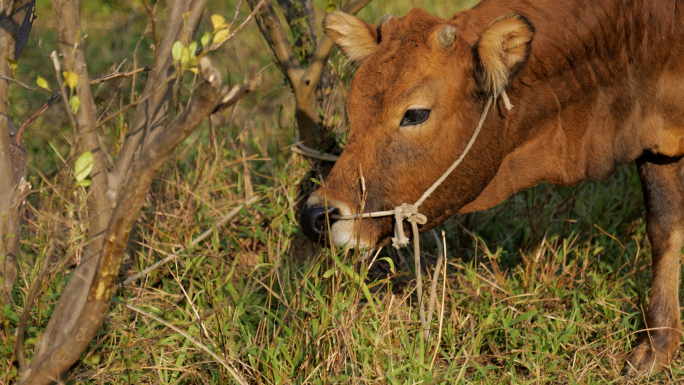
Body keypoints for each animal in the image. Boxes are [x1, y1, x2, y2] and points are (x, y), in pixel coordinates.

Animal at [300, 0, 684, 376]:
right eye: (352, 106)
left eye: (415, 114)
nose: (316, 215)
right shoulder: (655, 145)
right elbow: (664, 227)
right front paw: (659, 343)